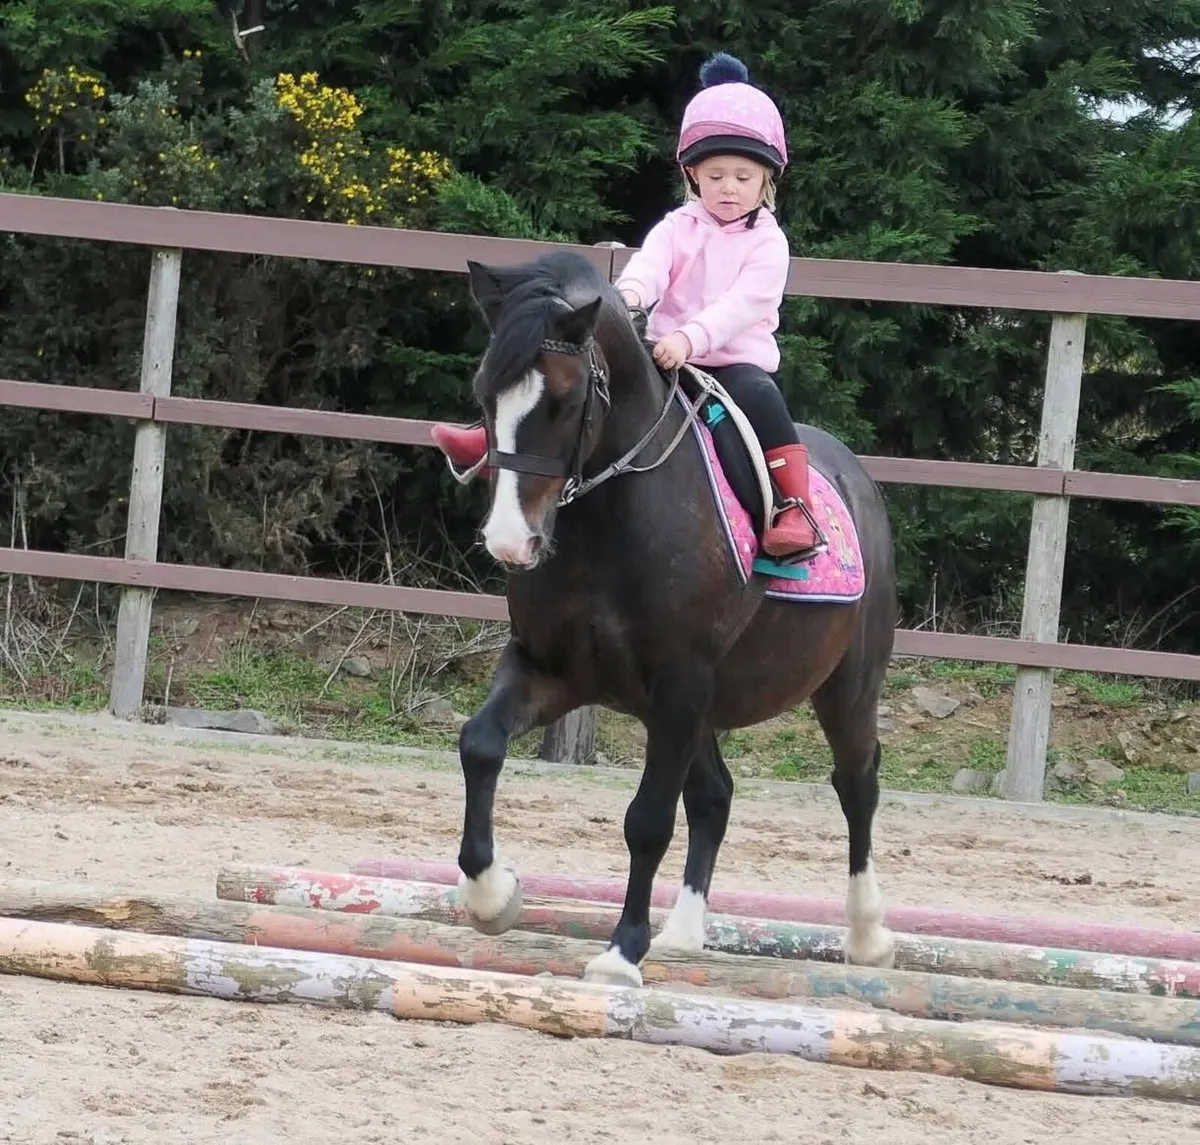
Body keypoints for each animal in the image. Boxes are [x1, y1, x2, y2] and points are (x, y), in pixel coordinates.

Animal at [445, 247, 898, 988]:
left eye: (565, 401)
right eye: (485, 395)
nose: (511, 542)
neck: (612, 520)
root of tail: (854, 476)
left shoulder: (680, 683)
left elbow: (648, 819)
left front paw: (621, 953)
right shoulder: (552, 668)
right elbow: (480, 743)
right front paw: (493, 894)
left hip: (845, 687)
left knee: (856, 783)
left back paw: (867, 936)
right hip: (704, 705)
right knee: (715, 793)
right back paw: (684, 932)